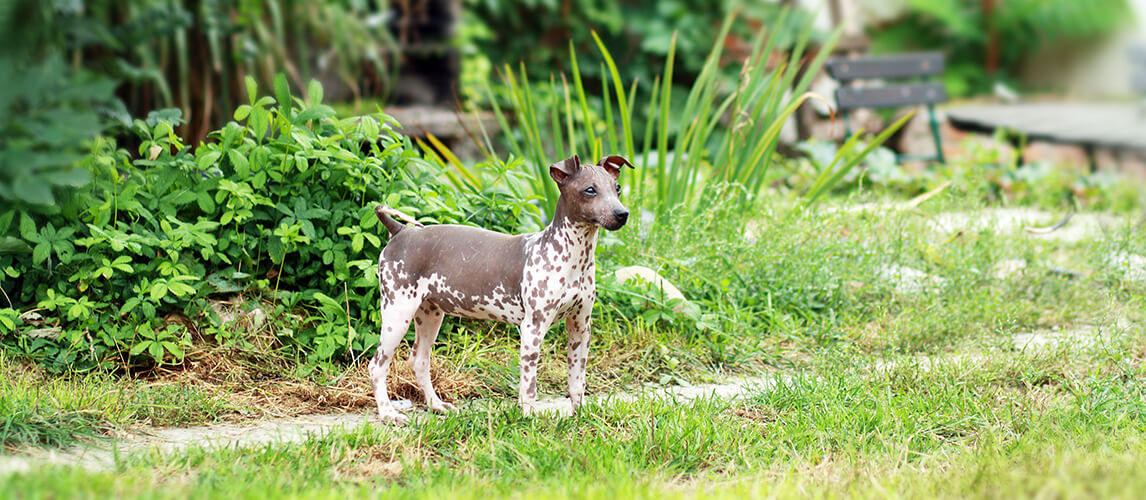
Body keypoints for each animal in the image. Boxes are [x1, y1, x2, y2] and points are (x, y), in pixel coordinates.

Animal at [369, 154, 632, 424]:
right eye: (590, 190)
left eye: (617, 188)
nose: (622, 214)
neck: (571, 257)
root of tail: (400, 231)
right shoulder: (532, 329)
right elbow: (529, 386)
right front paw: (528, 417)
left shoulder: (580, 326)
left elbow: (577, 380)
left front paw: (580, 416)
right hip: (397, 314)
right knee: (377, 366)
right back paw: (388, 413)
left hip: (430, 315)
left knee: (419, 361)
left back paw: (436, 405)